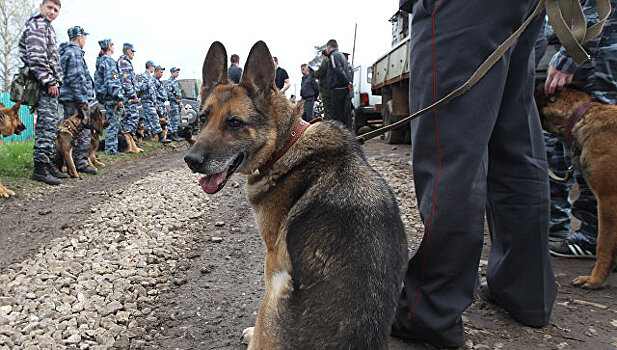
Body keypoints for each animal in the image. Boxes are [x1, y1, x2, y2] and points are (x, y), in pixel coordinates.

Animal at [182, 41, 410, 350]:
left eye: (234, 123)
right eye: (203, 118)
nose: (191, 160)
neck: (285, 144)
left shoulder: (273, 259)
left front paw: (252, 333)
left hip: (275, 286)